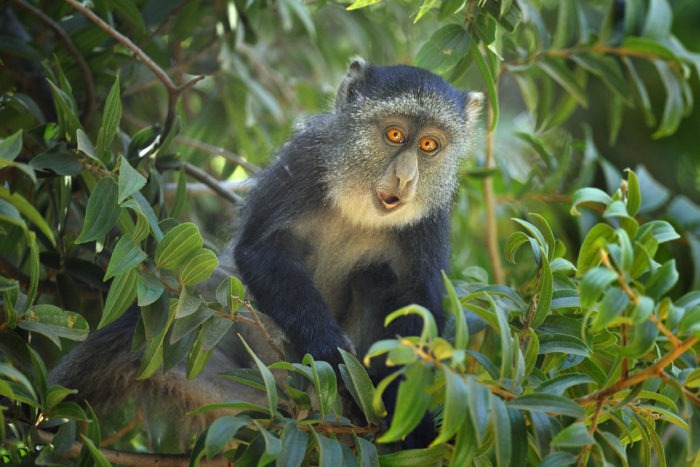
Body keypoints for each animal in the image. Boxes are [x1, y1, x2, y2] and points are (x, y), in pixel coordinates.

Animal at [47, 57, 482, 454]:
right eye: (394, 134)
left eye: (429, 145)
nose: (406, 178)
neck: (358, 204)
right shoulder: (303, 163)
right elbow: (260, 251)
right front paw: (329, 349)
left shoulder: (430, 220)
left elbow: (418, 303)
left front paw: (412, 423)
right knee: (148, 329)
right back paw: (46, 419)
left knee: (375, 277)